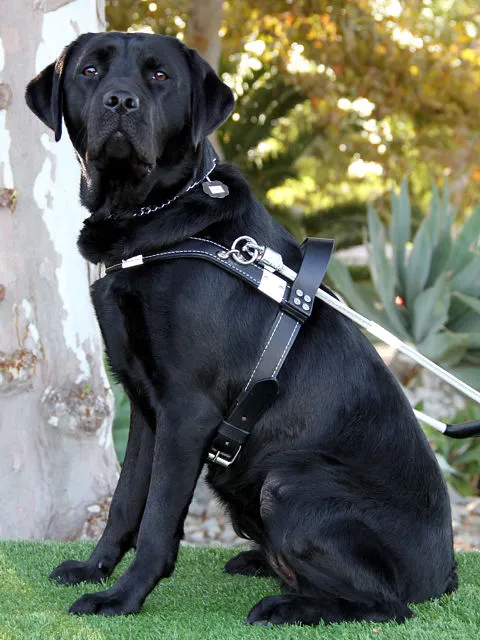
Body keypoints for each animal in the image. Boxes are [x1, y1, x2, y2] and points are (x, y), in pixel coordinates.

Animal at [26, 32, 457, 624]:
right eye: (90, 70)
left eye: (160, 76)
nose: (120, 102)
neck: (152, 220)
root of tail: (446, 574)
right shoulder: (146, 407)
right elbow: (125, 500)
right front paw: (96, 569)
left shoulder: (188, 410)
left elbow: (158, 518)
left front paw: (123, 597)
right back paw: (263, 565)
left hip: (287, 482)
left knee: (387, 605)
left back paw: (287, 606)